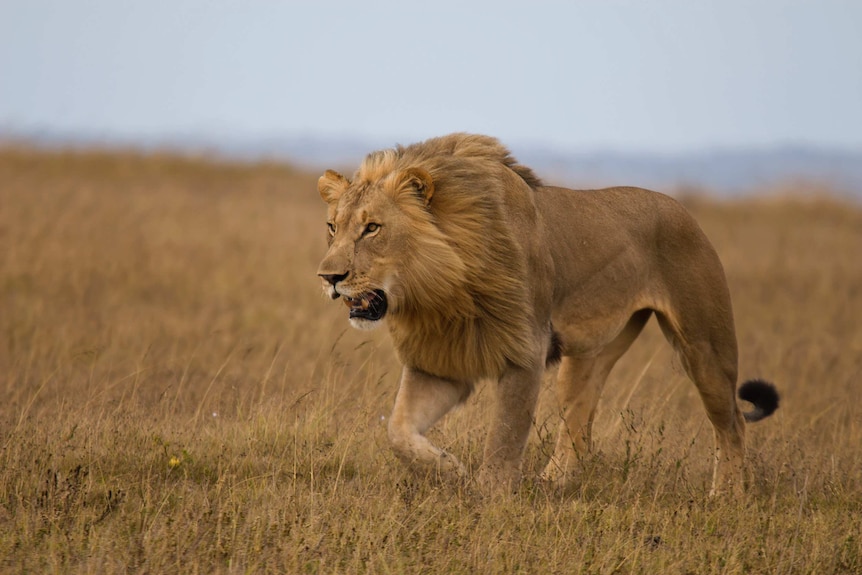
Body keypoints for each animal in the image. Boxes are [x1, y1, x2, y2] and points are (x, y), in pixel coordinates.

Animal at [316, 132, 776, 496]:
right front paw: (450, 471)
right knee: (579, 425)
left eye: (372, 228)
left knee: (733, 421)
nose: (329, 277)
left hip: (704, 345)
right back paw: (551, 484)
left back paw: (727, 496)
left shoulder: (525, 351)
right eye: (332, 227)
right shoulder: (440, 361)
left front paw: (490, 498)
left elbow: (504, 438)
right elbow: (397, 432)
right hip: (588, 357)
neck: (439, 291)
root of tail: (683, 210)